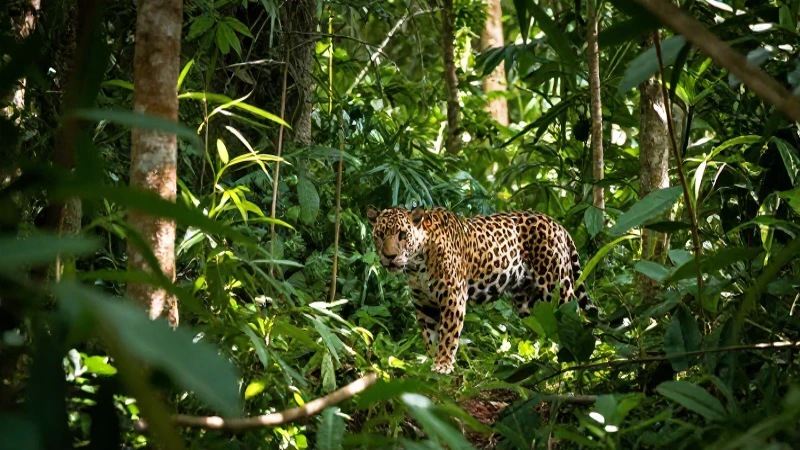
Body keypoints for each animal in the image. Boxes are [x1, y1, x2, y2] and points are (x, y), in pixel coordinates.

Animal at [366, 205, 591, 374]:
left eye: (403, 235)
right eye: (380, 235)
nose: (389, 256)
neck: (417, 263)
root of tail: (557, 225)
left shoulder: (453, 295)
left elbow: (448, 334)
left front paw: (443, 365)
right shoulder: (424, 304)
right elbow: (430, 336)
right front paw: (430, 360)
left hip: (557, 288)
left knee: (573, 319)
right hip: (529, 302)